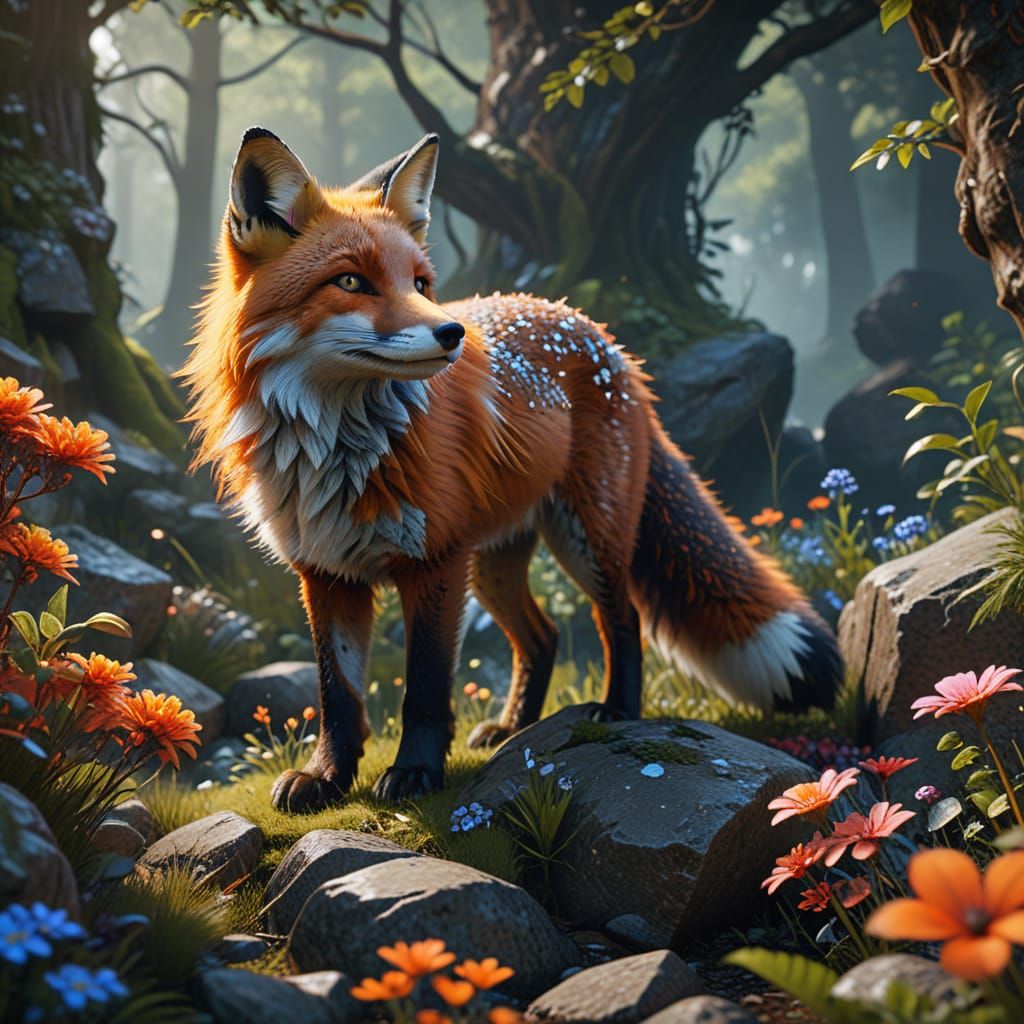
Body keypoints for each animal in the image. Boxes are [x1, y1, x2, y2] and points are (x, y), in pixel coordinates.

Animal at [183, 127, 842, 812]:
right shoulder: (325, 571)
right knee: (543, 636)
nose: (451, 333)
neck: (339, 450)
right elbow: (337, 696)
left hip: (584, 539)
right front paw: (328, 778)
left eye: (420, 282)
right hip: (493, 565)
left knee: (622, 619)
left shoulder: (434, 563)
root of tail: (601, 335)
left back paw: (618, 711)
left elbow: (424, 689)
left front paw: (415, 773)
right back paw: (514, 728)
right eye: (351, 281)